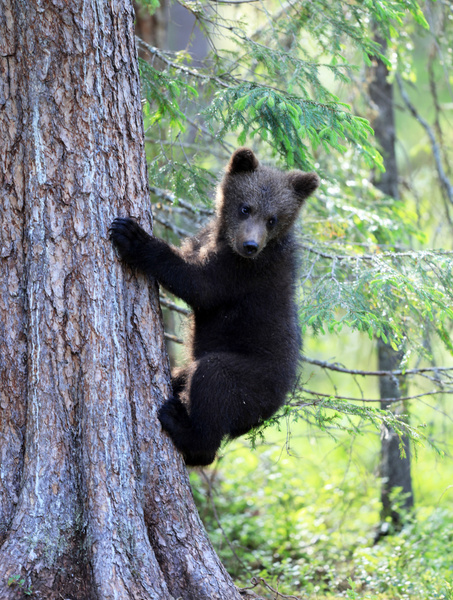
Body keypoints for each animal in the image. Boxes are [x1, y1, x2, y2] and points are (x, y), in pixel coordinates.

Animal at [109, 148, 318, 466]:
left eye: (272, 219)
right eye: (245, 208)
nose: (250, 245)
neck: (225, 239)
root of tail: (270, 410)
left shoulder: (242, 273)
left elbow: (198, 285)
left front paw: (134, 237)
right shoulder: (208, 242)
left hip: (251, 384)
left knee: (213, 380)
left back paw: (183, 430)